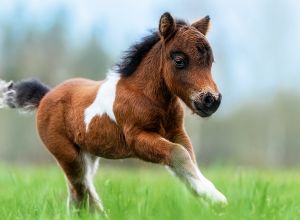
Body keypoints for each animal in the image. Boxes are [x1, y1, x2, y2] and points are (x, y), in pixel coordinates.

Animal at [0, 12, 226, 214]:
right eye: (179, 61)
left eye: (211, 61)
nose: (211, 100)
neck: (146, 95)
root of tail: (45, 96)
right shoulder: (137, 139)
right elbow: (179, 155)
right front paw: (215, 198)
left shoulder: (177, 133)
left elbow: (187, 160)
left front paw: (207, 202)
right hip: (68, 155)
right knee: (82, 193)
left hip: (87, 156)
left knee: (76, 196)